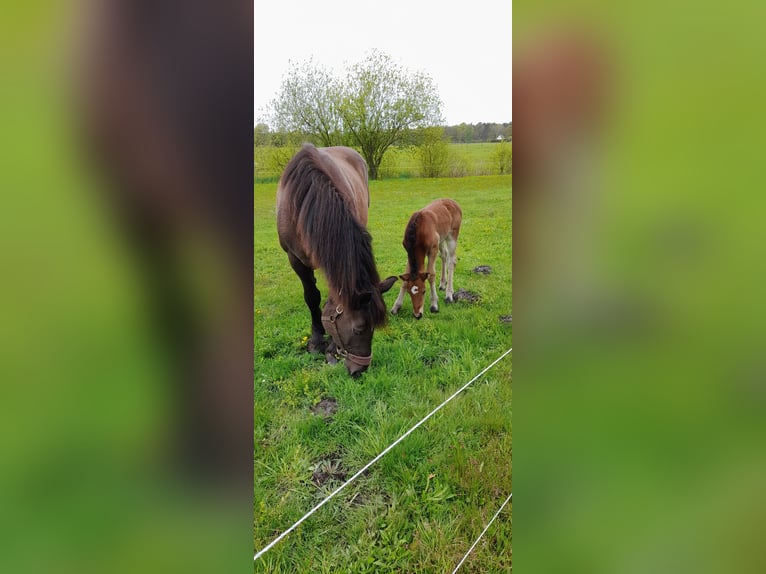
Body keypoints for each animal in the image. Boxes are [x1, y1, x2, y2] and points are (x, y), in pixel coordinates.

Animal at [278, 144, 400, 378]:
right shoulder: (295, 259)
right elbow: (312, 297)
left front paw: (330, 349)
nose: (359, 371)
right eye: (359, 329)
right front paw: (317, 341)